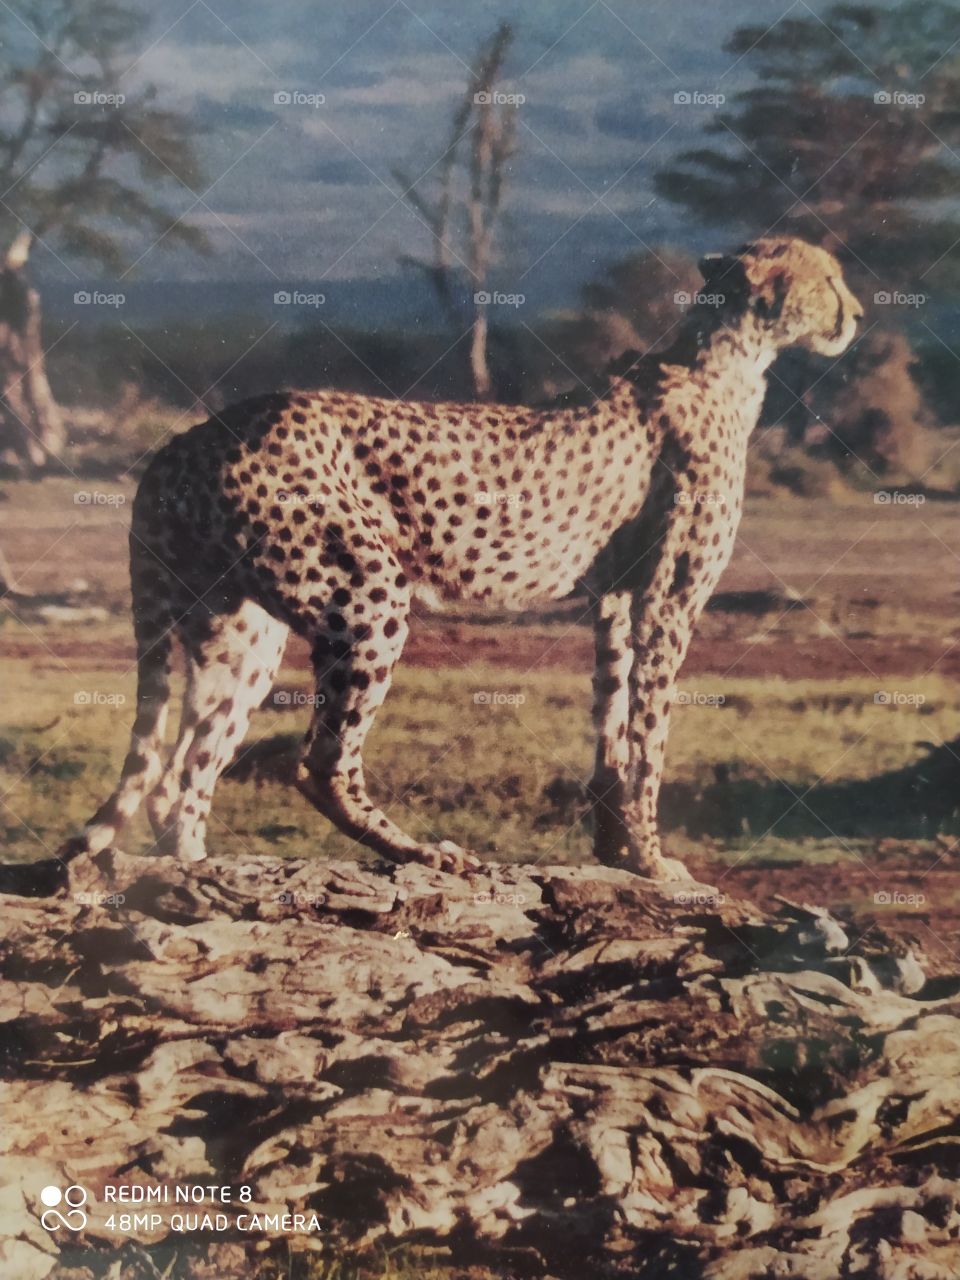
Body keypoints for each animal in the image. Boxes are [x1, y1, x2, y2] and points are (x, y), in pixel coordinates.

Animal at [62, 237, 862, 880]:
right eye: (829, 277)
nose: (856, 314)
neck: (727, 357)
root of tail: (189, 435)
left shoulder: (612, 596)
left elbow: (611, 720)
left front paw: (614, 848)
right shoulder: (668, 601)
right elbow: (651, 734)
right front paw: (654, 859)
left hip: (240, 630)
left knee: (181, 769)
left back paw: (195, 864)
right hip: (367, 593)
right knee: (319, 764)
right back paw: (422, 852)